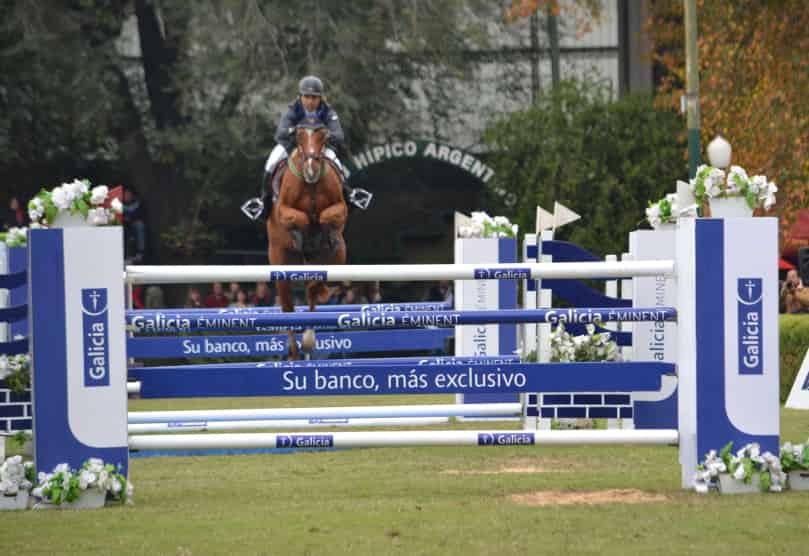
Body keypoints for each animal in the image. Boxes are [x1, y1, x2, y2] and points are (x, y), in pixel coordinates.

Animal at [262, 118, 344, 360]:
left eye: (323, 136)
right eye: (298, 137)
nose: (311, 170)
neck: (312, 185)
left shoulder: (341, 207)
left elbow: (328, 215)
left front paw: (324, 231)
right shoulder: (283, 210)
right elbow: (300, 218)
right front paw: (304, 233)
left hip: (337, 262)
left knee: (314, 289)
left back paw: (308, 339)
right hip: (280, 266)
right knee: (288, 307)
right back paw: (294, 353)